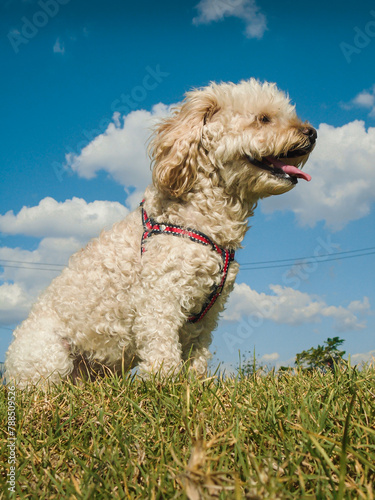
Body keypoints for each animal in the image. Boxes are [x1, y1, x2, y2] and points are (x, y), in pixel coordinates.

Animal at [5, 80, 318, 388]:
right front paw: (163, 386)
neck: (202, 218)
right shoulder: (160, 297)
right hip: (49, 356)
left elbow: (197, 355)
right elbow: (162, 350)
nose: (313, 133)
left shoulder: (206, 315)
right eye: (263, 119)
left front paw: (194, 386)